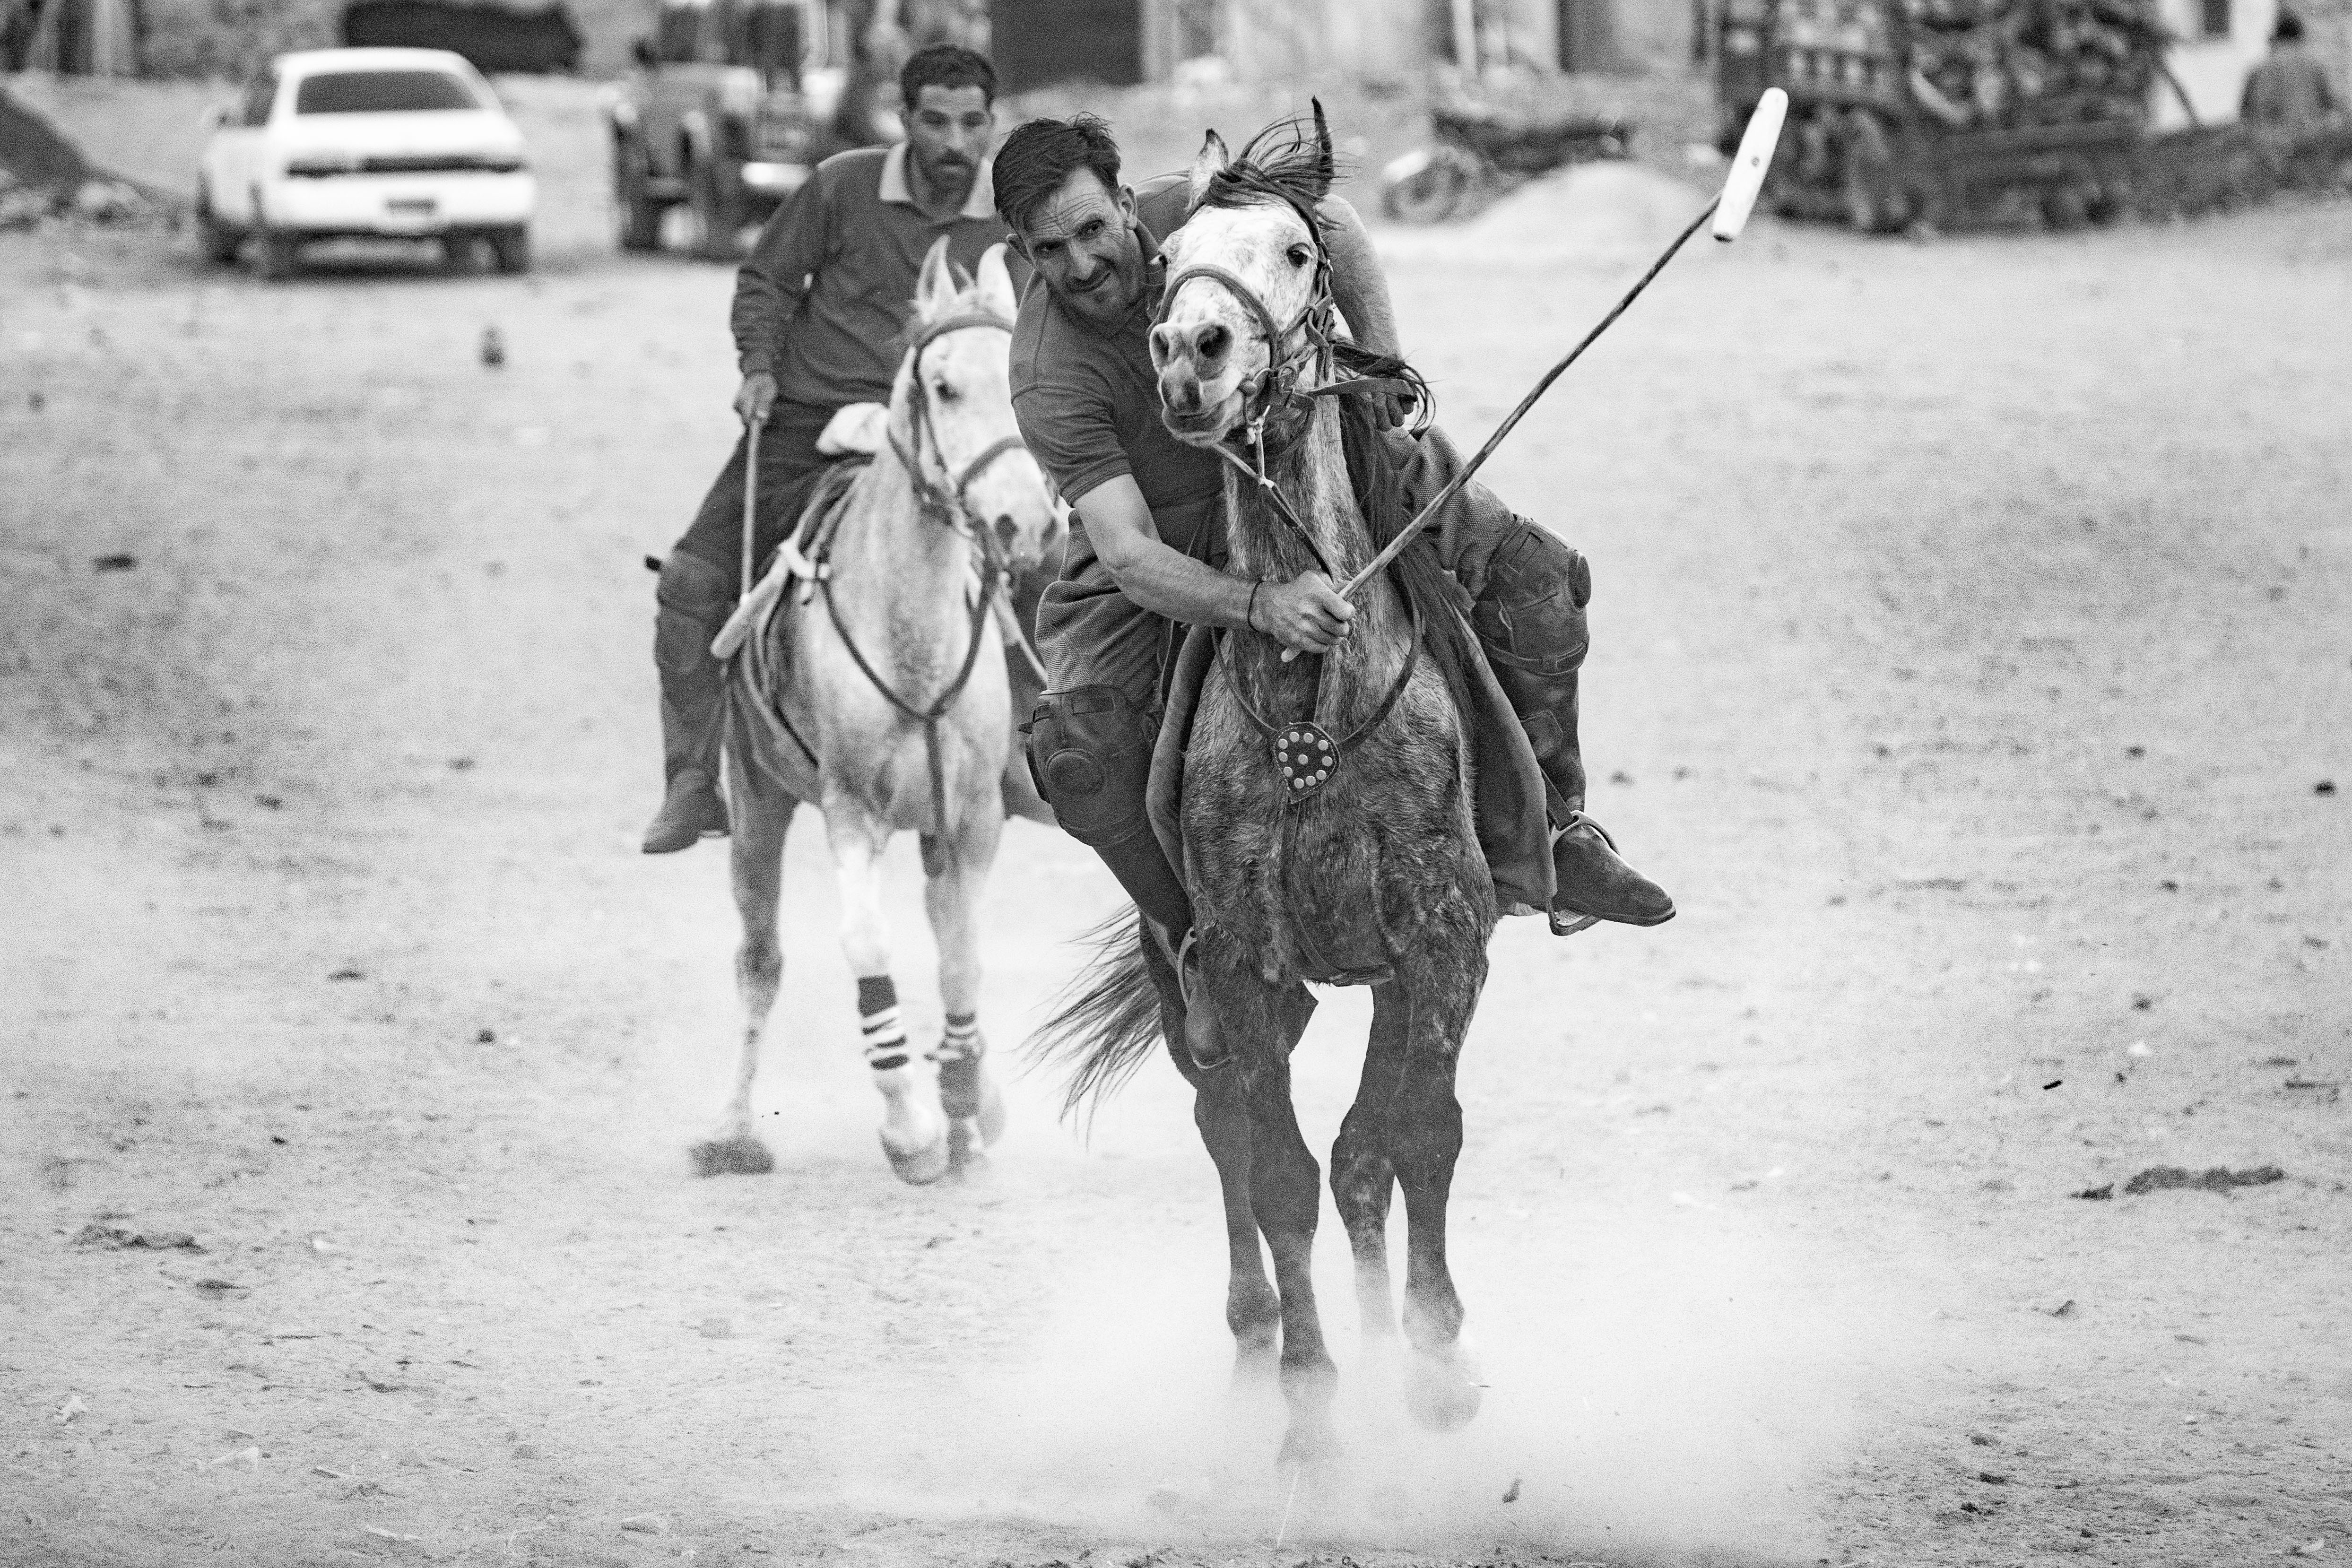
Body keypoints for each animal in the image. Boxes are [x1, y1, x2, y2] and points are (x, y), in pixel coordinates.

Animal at [695, 237, 1061, 1186]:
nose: (1027, 522)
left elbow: (962, 955)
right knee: (759, 961)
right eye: (943, 387)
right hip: (756, 802)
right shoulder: (848, 808)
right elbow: (866, 948)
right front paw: (911, 1128)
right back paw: (733, 1129)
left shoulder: (970, 816)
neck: (911, 635)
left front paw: (965, 1096)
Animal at [1034, 111, 1497, 1465]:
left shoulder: (1443, 939)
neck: (1314, 702)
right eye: (1174, 250)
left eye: (1297, 250)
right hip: (1209, 985)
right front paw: (1310, 1408)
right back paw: (1253, 1343)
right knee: (1230, 1131)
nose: (1191, 350)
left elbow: (1413, 1135)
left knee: (1360, 1153)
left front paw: (1434, 1362)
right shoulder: (1240, 960)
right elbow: (1280, 1169)